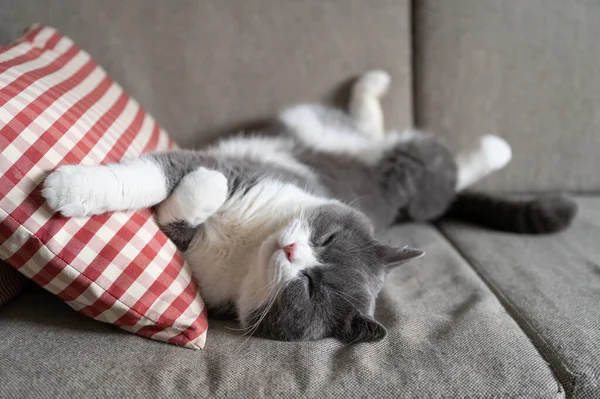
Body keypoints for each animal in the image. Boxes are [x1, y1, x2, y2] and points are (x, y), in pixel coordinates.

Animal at [41, 71, 576, 344]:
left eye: (312, 288)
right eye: (329, 239)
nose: (295, 252)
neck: (246, 246)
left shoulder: (203, 265)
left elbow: (187, 201)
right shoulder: (243, 170)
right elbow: (154, 175)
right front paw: (66, 186)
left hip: (413, 177)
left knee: (446, 174)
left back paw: (492, 149)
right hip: (309, 121)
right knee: (377, 131)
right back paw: (376, 86)